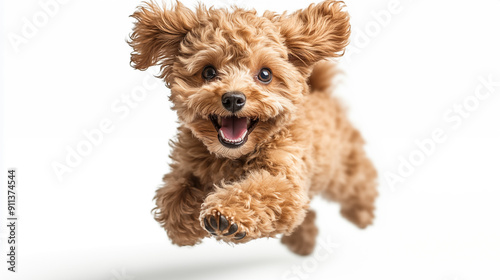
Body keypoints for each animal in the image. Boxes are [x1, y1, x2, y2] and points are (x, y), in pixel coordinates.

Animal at [127, 0, 376, 255]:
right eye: (208, 72)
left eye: (265, 74)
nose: (233, 99)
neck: (233, 156)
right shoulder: (186, 167)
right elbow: (172, 197)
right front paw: (184, 227)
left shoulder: (287, 178)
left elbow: (263, 189)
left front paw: (226, 216)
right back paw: (302, 240)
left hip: (342, 170)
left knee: (360, 180)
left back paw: (362, 213)